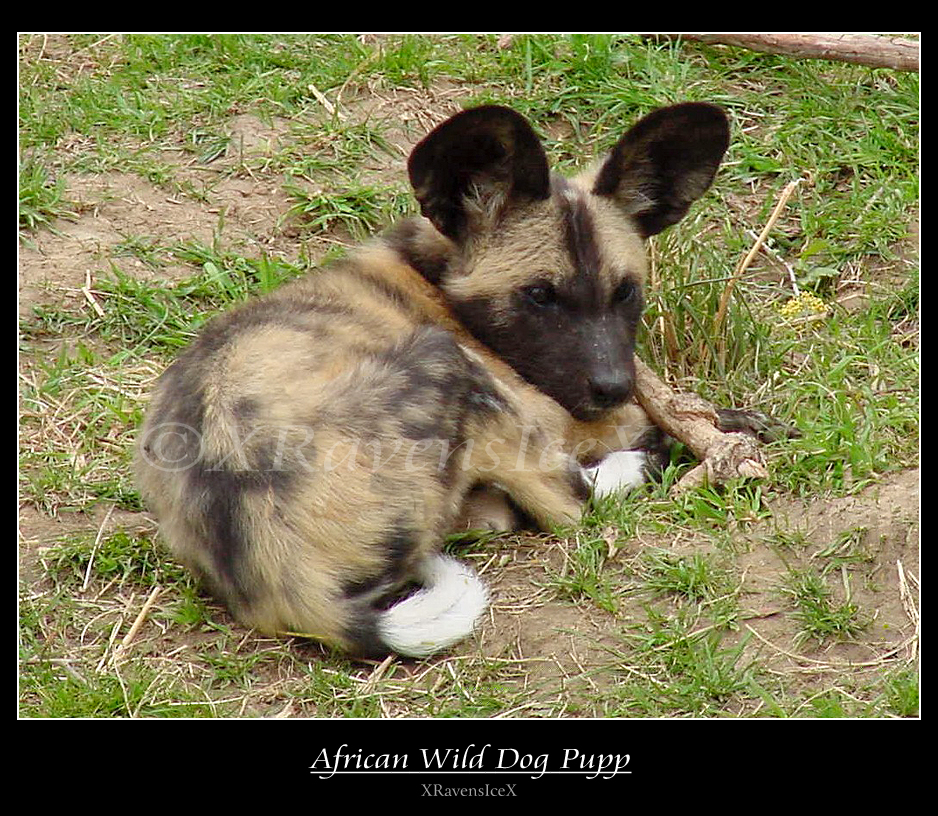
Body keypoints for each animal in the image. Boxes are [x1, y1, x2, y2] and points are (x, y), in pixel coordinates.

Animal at [133, 103, 732, 656]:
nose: (612, 384)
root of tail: (283, 577)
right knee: (568, 501)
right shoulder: (546, 409)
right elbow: (618, 432)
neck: (433, 278)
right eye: (540, 295)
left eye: (625, 291)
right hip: (450, 363)